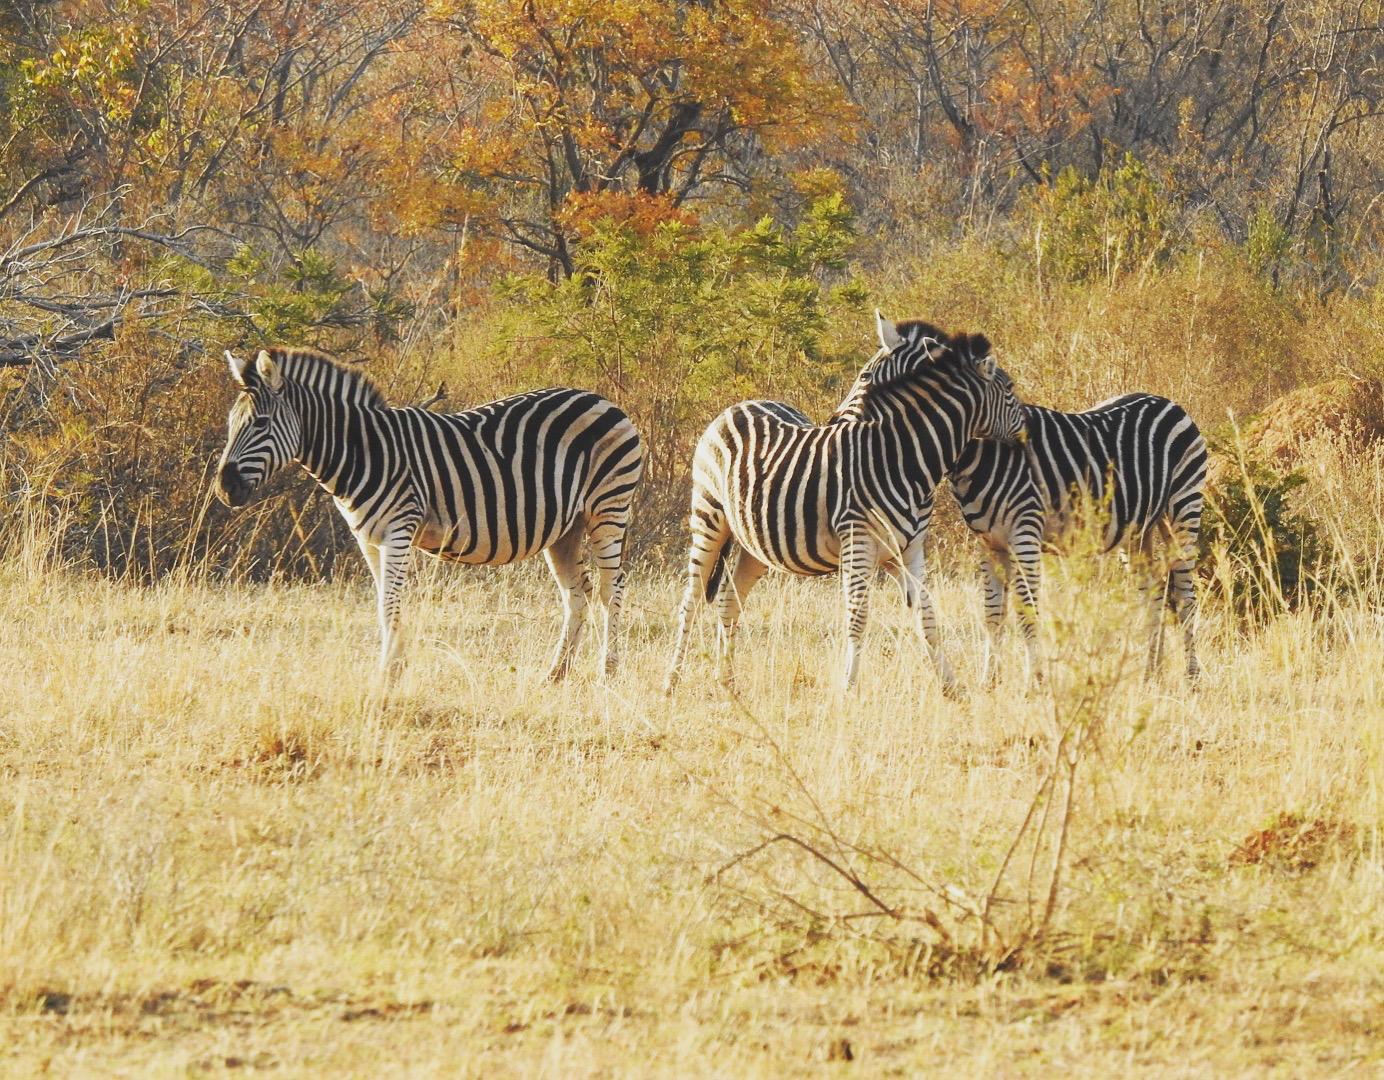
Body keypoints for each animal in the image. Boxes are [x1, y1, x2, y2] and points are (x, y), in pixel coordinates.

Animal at [213, 346, 644, 678]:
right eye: (231, 422)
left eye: (261, 423)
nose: (224, 488)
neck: (363, 452)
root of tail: (604, 400)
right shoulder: (367, 538)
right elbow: (383, 602)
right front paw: (394, 668)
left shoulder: (399, 529)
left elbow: (389, 603)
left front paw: (386, 675)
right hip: (566, 529)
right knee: (577, 593)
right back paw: (555, 674)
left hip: (608, 508)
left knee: (611, 588)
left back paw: (608, 673)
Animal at [664, 311, 1035, 695]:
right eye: (1010, 390)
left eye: (865, 375)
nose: (1029, 432)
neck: (902, 456)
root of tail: (740, 405)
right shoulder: (858, 541)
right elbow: (857, 618)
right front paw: (848, 689)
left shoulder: (907, 550)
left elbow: (928, 617)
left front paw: (950, 687)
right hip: (708, 517)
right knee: (690, 601)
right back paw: (671, 682)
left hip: (755, 542)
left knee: (729, 601)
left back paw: (727, 684)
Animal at [946, 393, 1206, 684]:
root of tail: (1167, 402)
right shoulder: (989, 543)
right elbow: (992, 613)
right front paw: (990, 682)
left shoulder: (1025, 531)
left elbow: (1027, 612)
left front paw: (1035, 683)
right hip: (1137, 532)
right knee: (1155, 591)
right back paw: (1152, 674)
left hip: (1183, 507)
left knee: (1185, 597)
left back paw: (1192, 677)